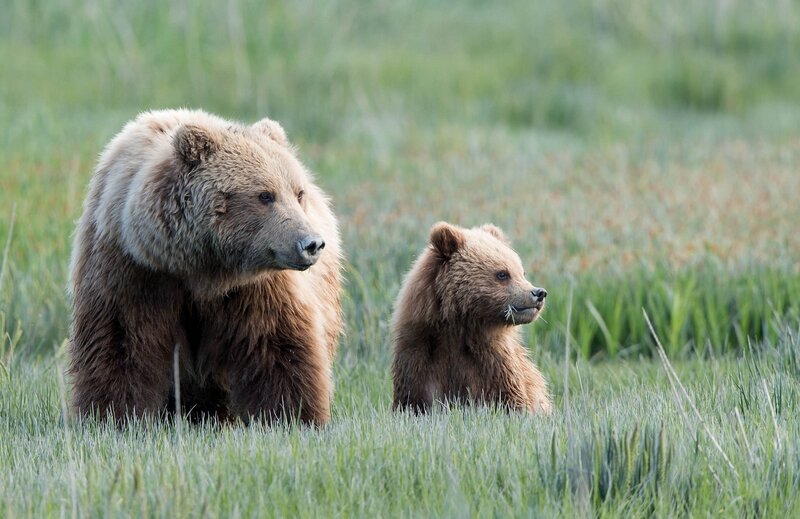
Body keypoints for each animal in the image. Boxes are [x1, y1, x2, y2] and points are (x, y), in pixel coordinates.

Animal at [68, 109, 342, 426]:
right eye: (265, 195)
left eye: (298, 193)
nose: (311, 243)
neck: (200, 268)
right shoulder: (133, 270)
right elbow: (122, 341)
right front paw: (112, 415)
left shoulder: (256, 287)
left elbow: (275, 343)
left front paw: (292, 416)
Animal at [391, 222, 551, 414]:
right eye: (502, 274)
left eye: (522, 272)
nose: (539, 293)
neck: (458, 326)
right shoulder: (419, 353)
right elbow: (413, 400)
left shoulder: (494, 361)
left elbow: (511, 398)